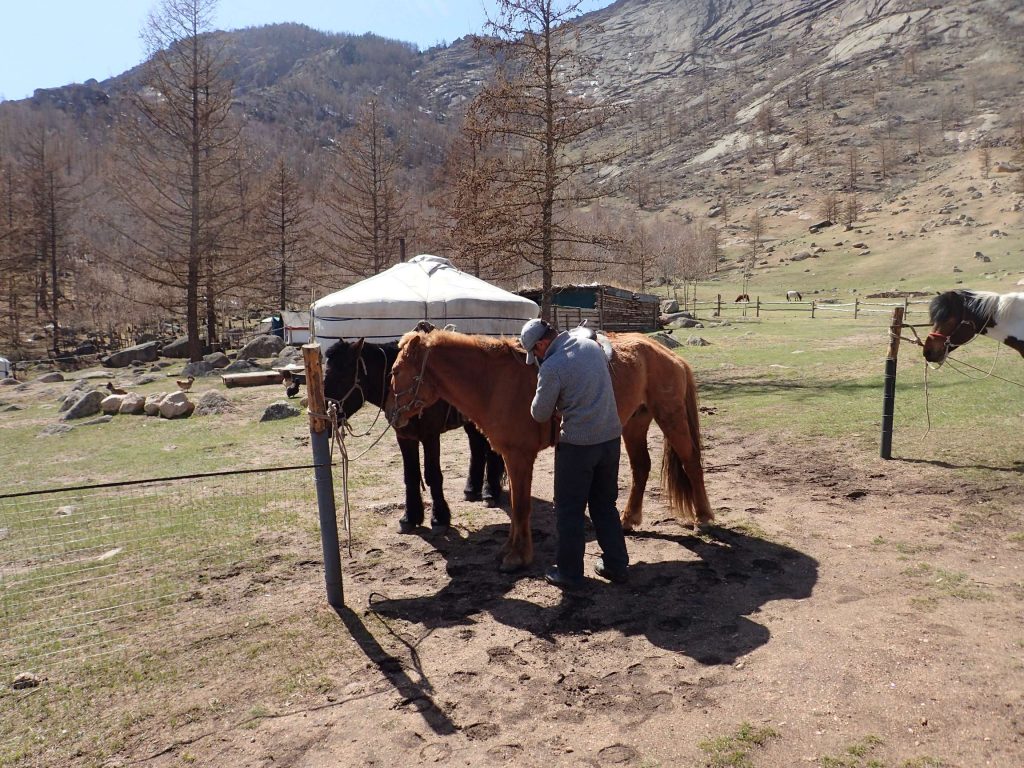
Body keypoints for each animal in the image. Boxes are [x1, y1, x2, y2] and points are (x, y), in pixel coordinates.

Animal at [323, 339, 503, 532]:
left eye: (340, 376)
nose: (324, 420)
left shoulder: (430, 436)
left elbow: (433, 475)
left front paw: (439, 518)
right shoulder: (405, 437)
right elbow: (410, 475)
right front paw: (409, 517)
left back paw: (490, 492)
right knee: (477, 446)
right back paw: (471, 488)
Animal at [385, 327, 712, 573]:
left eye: (396, 370)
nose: (391, 414)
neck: (494, 382)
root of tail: (669, 354)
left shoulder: (520, 457)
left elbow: (521, 506)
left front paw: (518, 557)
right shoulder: (510, 456)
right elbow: (515, 504)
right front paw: (509, 549)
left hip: (670, 416)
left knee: (691, 462)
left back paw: (703, 518)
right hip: (635, 423)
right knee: (641, 468)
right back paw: (629, 520)